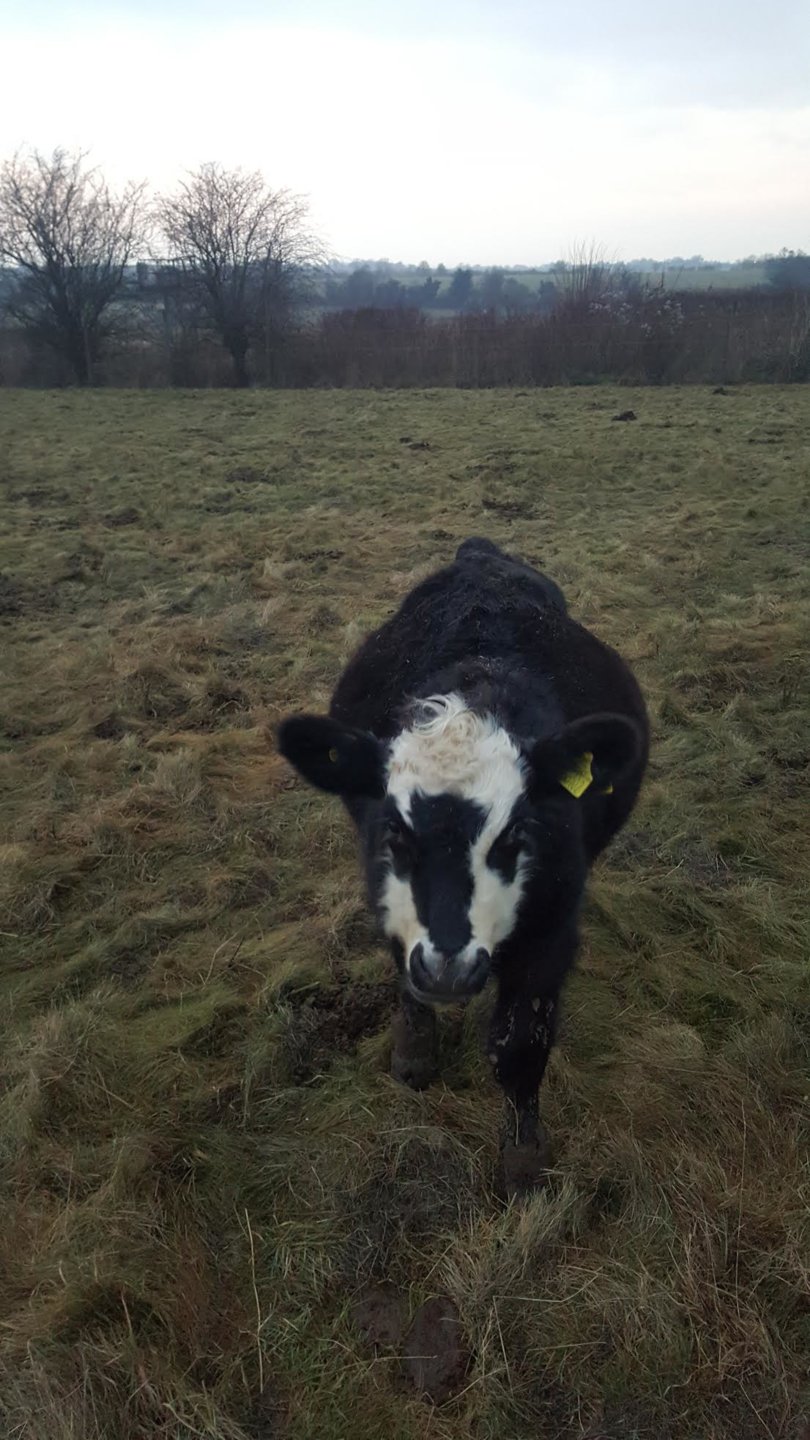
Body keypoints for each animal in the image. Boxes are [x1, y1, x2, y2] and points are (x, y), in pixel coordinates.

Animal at [278, 538, 649, 1196]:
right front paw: (414, 1051)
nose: (448, 966)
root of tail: (482, 554)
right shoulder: (385, 893)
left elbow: (519, 1045)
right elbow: (403, 968)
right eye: (395, 831)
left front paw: (523, 1157)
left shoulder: (553, 925)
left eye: (515, 834)